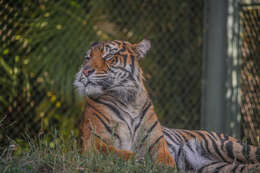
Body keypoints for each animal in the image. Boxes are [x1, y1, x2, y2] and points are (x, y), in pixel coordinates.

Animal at [72, 39, 260, 172]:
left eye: (109, 57)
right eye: (87, 58)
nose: (85, 71)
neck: (127, 100)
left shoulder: (157, 144)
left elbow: (164, 161)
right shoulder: (93, 142)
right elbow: (117, 153)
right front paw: (139, 161)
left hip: (225, 146)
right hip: (217, 167)